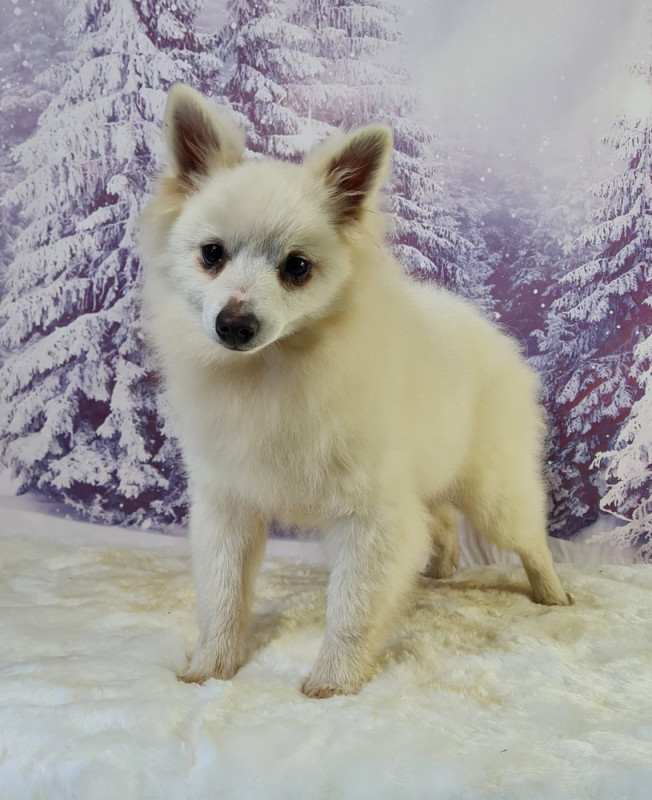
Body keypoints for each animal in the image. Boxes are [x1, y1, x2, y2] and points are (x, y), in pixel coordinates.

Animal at [140, 84, 570, 698]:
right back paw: (437, 571)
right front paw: (210, 668)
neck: (277, 368)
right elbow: (222, 598)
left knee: (529, 537)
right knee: (440, 522)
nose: (234, 323)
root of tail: (491, 333)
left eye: (297, 267)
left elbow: (354, 608)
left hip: (493, 492)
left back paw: (550, 591)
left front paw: (334, 682)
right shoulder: (230, 506)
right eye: (211, 255)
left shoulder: (371, 515)